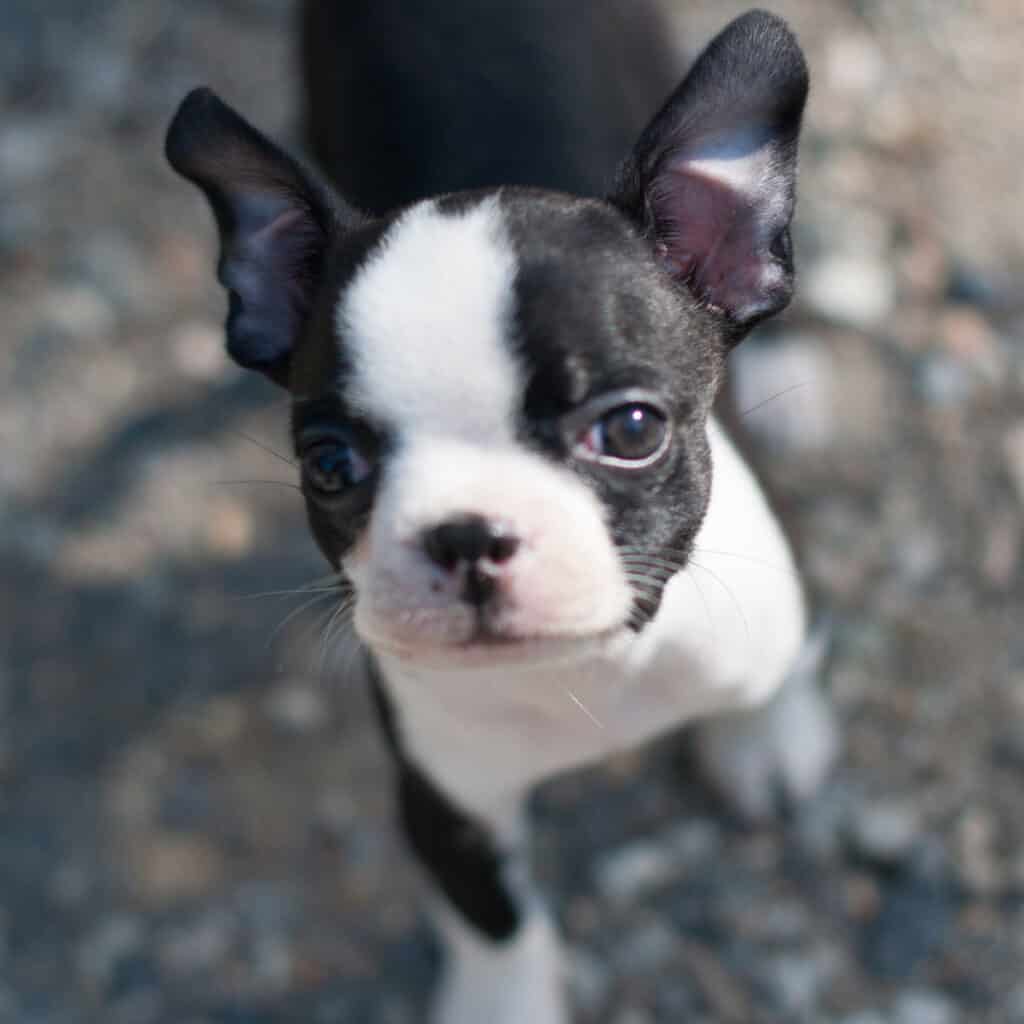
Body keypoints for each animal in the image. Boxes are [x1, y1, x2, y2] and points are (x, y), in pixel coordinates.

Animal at [169, 6, 839, 1015]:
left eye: (631, 428)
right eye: (329, 466)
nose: (466, 532)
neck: (597, 664)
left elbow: (780, 672)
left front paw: (761, 740)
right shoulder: (445, 799)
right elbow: (494, 919)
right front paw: (503, 1003)